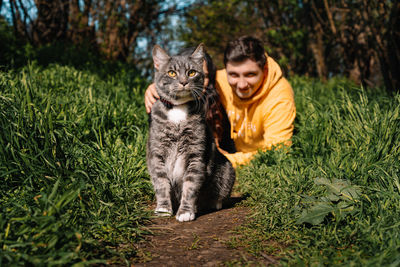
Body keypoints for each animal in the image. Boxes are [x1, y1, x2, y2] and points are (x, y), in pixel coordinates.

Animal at [146, 44, 234, 223]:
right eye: (171, 73)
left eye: (192, 72)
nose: (184, 82)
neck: (178, 110)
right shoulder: (157, 152)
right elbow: (161, 182)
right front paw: (163, 208)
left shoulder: (195, 153)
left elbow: (191, 185)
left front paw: (185, 212)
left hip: (228, 168)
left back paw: (214, 203)